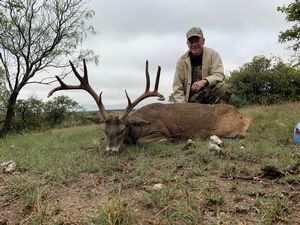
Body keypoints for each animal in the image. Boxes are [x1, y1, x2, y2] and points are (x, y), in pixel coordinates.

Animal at [47, 59, 251, 153]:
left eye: (122, 129)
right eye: (105, 130)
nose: (110, 151)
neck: (138, 127)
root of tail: (241, 115)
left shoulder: (158, 131)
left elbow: (143, 141)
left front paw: (172, 141)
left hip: (225, 128)